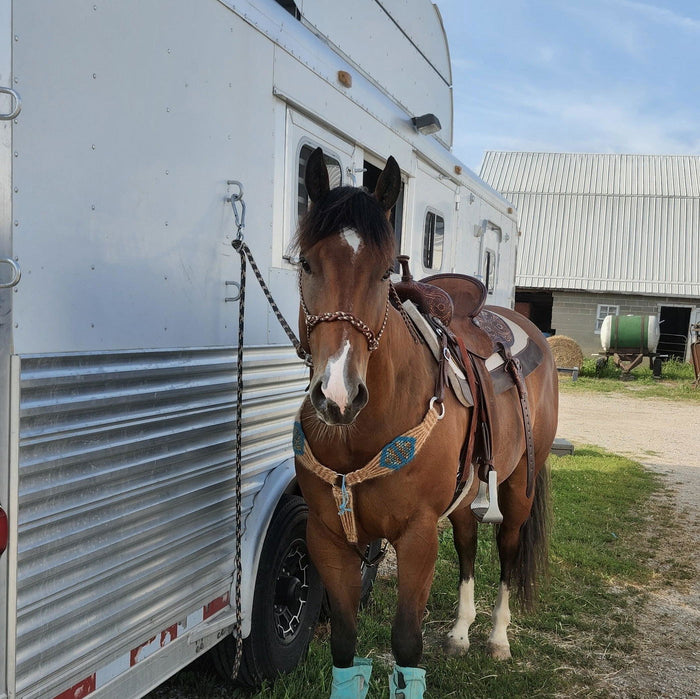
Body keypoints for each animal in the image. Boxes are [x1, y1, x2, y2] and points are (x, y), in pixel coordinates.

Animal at [293, 147, 558, 699]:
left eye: (383, 273)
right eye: (306, 262)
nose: (337, 396)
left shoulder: (416, 537)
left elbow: (406, 645)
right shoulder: (327, 538)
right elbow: (344, 644)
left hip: (518, 489)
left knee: (506, 553)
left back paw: (497, 639)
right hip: (467, 491)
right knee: (467, 545)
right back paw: (459, 632)